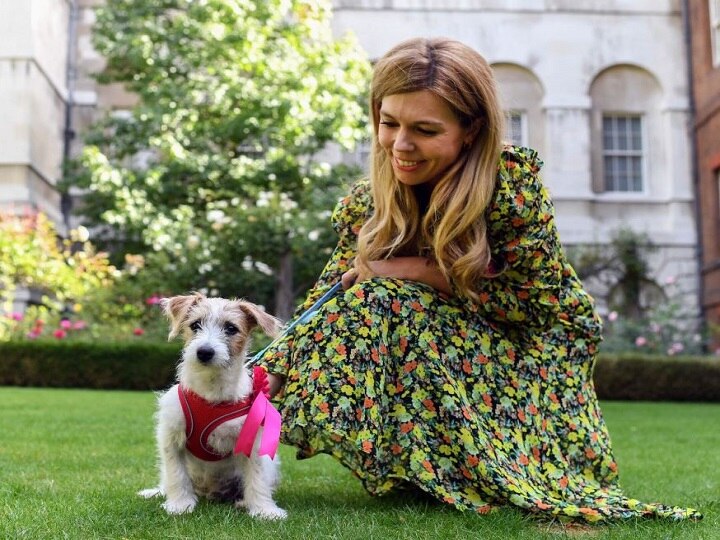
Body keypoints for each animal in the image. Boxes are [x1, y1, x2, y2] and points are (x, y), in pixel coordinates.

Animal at [138, 294, 286, 520]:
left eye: (231, 328)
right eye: (195, 325)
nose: (204, 352)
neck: (211, 391)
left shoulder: (253, 442)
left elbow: (257, 477)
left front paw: (264, 510)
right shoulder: (171, 437)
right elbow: (176, 474)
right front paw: (179, 505)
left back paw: (243, 502)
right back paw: (156, 492)